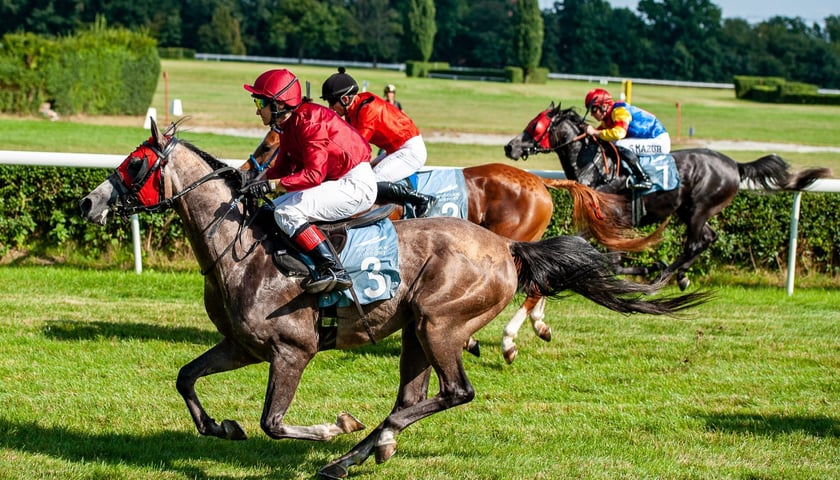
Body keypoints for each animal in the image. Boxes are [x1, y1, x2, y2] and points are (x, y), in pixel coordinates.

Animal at [246, 129, 660, 362]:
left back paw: (509, 342)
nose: (248, 172)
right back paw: (536, 327)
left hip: (514, 236)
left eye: (268, 146)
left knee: (533, 285)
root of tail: (540, 182)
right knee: (543, 280)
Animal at [502, 104, 832, 290]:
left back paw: (665, 275)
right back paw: (681, 275)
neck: (594, 165)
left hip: (699, 208)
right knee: (707, 238)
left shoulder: (615, 221)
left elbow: (613, 261)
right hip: (690, 211)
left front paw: (648, 267)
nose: (510, 146)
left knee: (695, 242)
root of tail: (734, 165)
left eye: (535, 125)